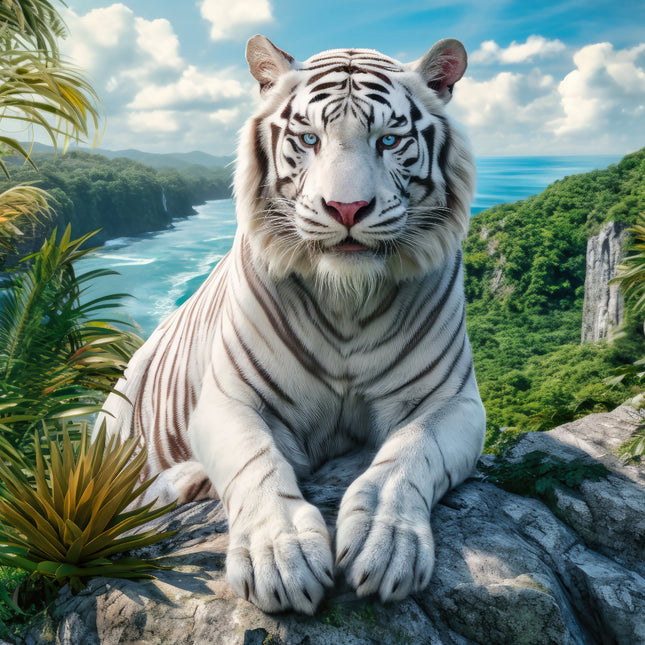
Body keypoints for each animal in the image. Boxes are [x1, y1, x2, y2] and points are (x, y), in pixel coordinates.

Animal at [96, 34, 486, 615]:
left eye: (389, 140)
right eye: (308, 138)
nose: (347, 208)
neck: (347, 298)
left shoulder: (451, 401)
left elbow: (407, 455)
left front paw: (385, 543)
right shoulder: (229, 400)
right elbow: (255, 463)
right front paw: (279, 556)